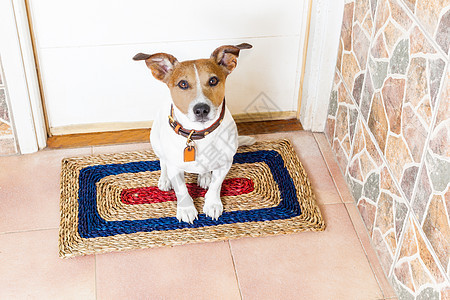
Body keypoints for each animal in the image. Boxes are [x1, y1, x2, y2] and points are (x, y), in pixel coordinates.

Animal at [133, 43, 253, 224]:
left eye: (213, 80)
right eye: (183, 84)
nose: (201, 109)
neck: (199, 133)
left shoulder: (225, 163)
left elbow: (216, 186)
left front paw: (212, 204)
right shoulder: (175, 167)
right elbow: (181, 189)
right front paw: (186, 209)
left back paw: (204, 176)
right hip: (156, 142)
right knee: (163, 162)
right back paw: (165, 179)